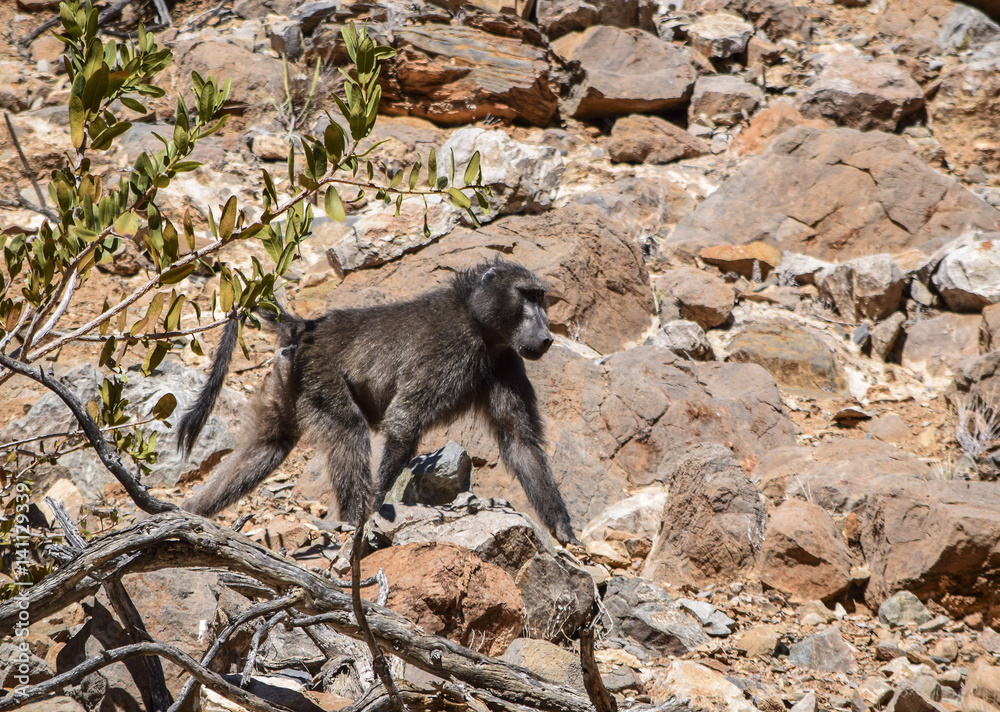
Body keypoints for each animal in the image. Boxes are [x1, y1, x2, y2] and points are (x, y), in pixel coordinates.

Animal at [176, 257, 580, 545]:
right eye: (526, 295)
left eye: (540, 297)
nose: (546, 337)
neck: (477, 321)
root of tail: (305, 327)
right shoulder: (448, 349)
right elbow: (405, 419)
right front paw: (373, 509)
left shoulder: (507, 359)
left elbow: (520, 442)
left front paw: (563, 530)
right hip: (317, 373)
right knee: (349, 430)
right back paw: (350, 524)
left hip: (288, 378)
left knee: (267, 447)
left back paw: (190, 513)